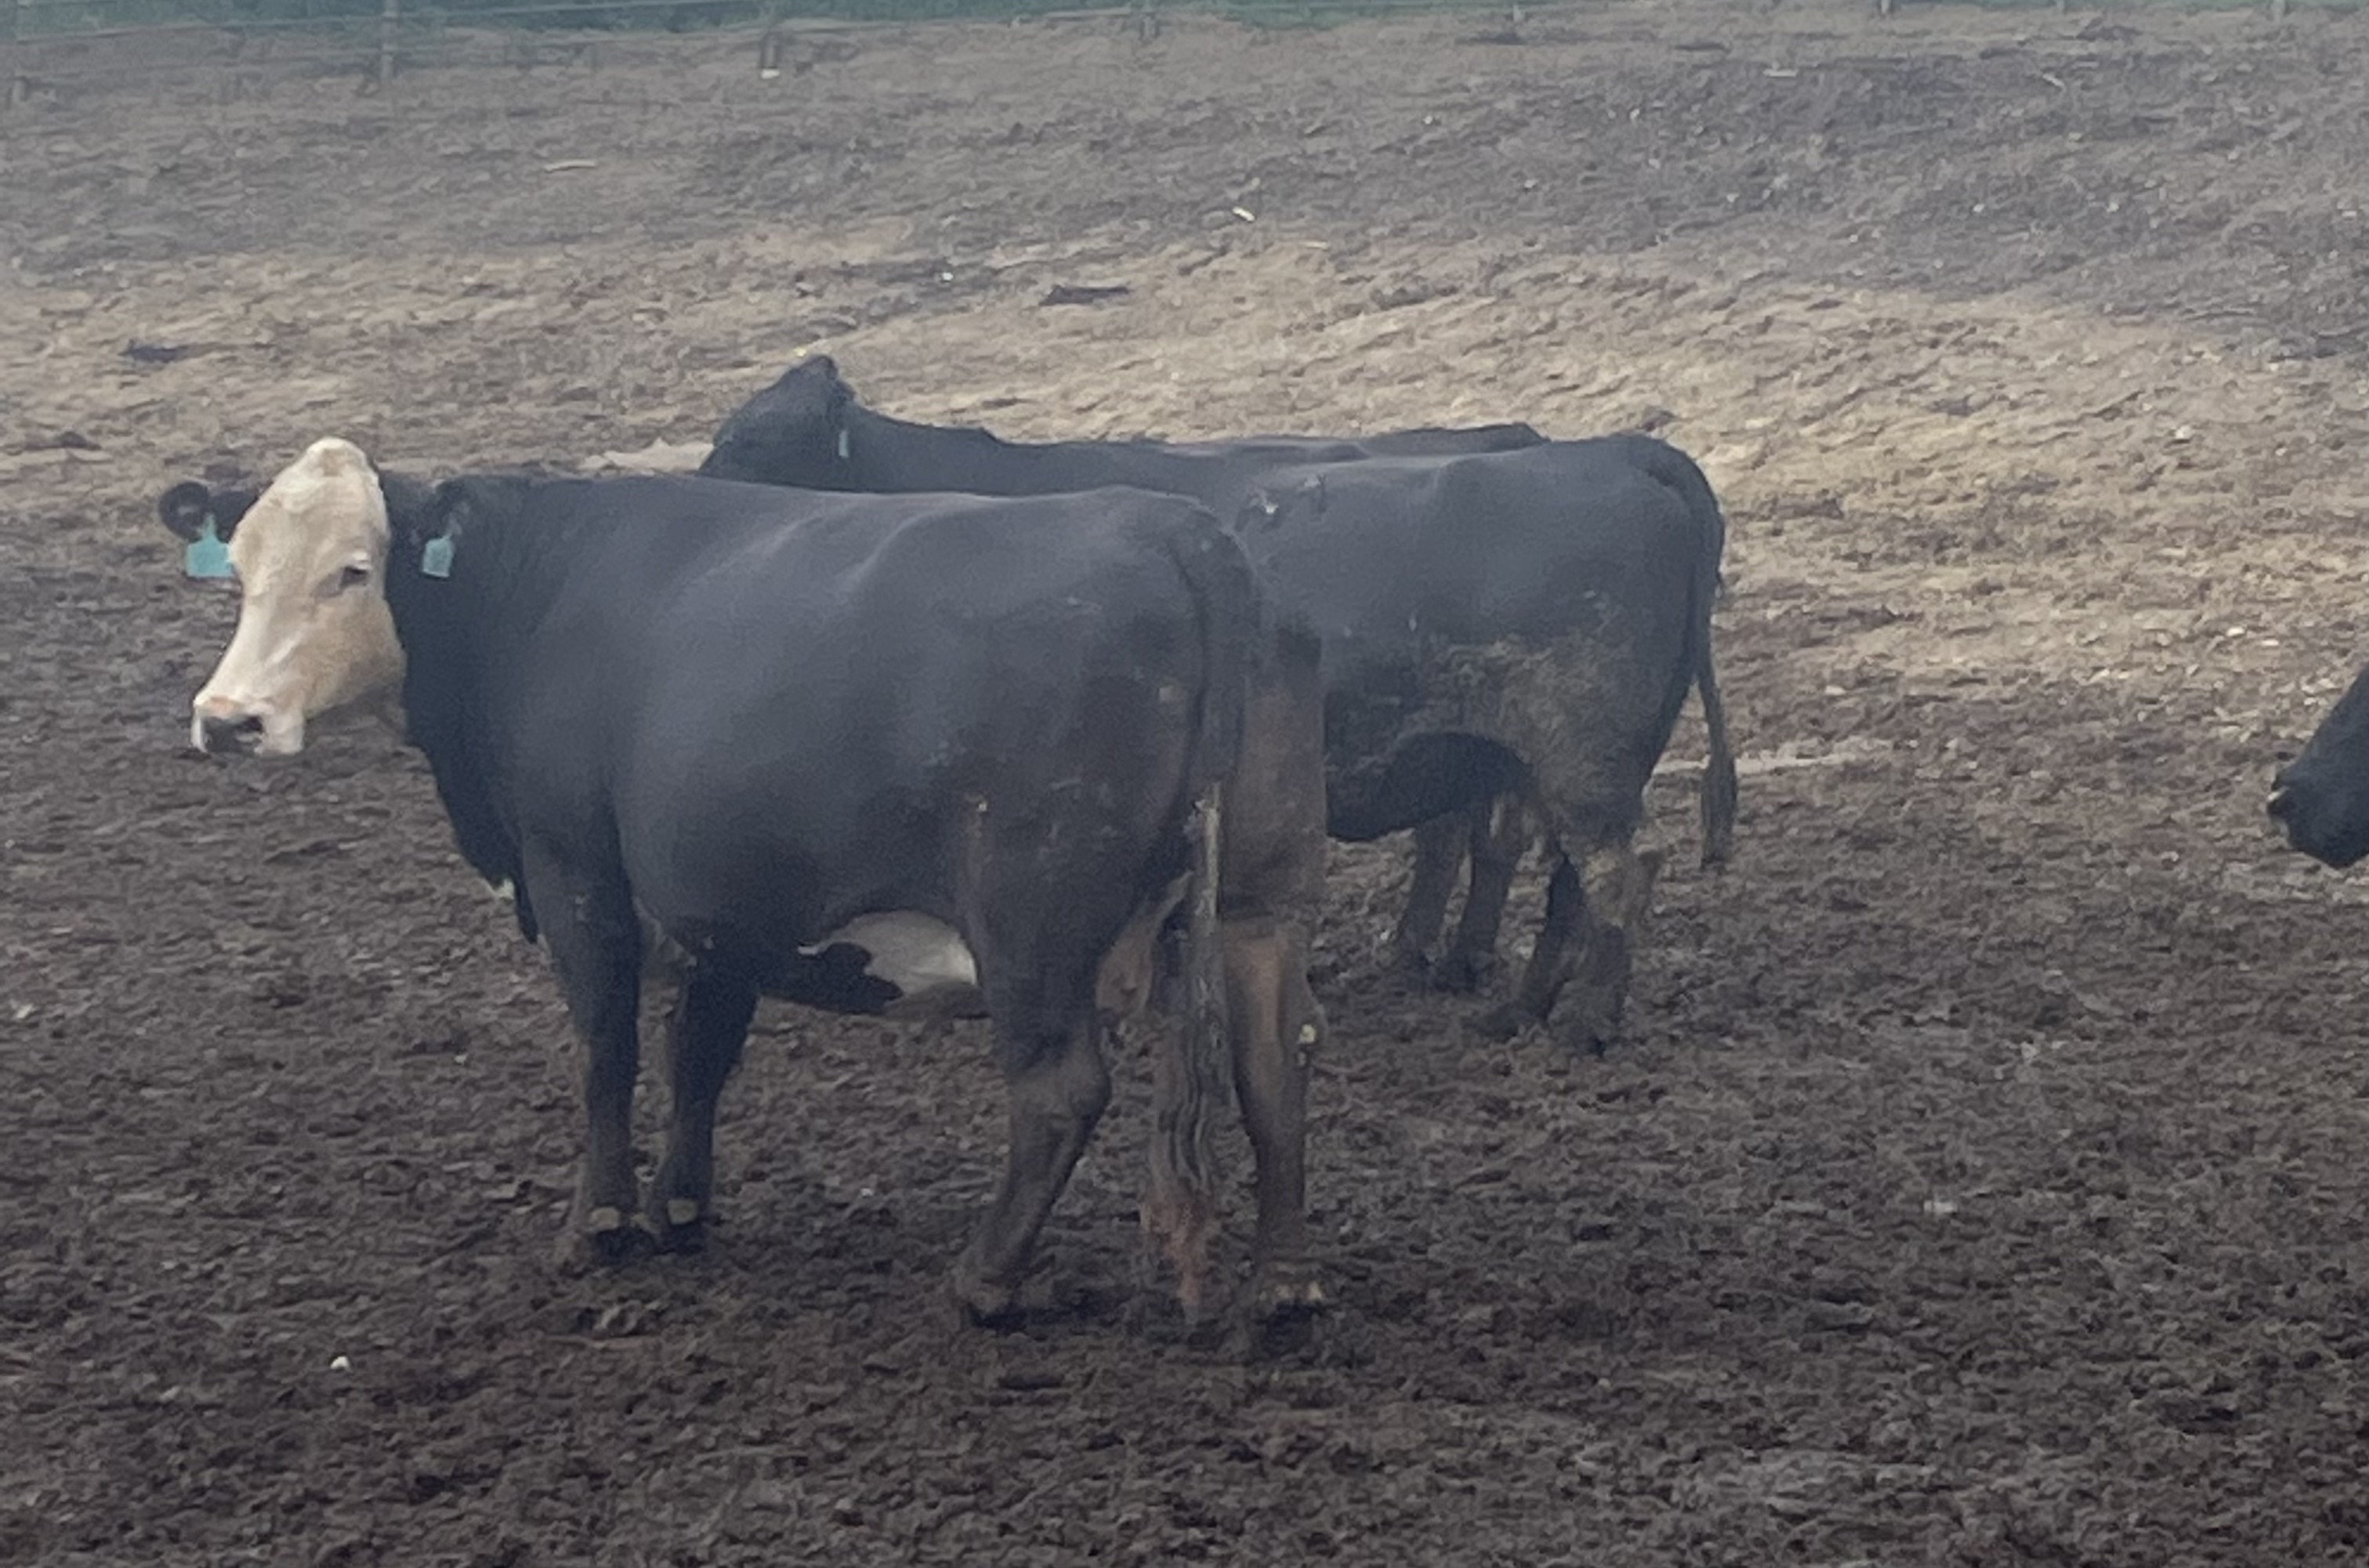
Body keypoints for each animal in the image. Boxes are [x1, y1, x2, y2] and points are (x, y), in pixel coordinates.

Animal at [160, 439, 1329, 1327]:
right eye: (241, 569)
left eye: (353, 570)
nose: (229, 720)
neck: (530, 590)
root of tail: (1182, 533)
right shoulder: (723, 900)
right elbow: (701, 1056)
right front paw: (678, 1211)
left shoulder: (574, 867)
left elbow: (607, 1050)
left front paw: (593, 1227)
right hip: (1258, 905)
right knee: (1271, 1072)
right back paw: (1282, 1285)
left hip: (1030, 917)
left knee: (1058, 1089)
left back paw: (982, 1280)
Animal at [694, 357, 1737, 1043]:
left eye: (749, 436)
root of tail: (1611, 453)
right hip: (1553, 761)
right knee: (1553, 873)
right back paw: (1512, 1006)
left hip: (1580, 752)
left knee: (1616, 870)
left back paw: (1581, 1022)